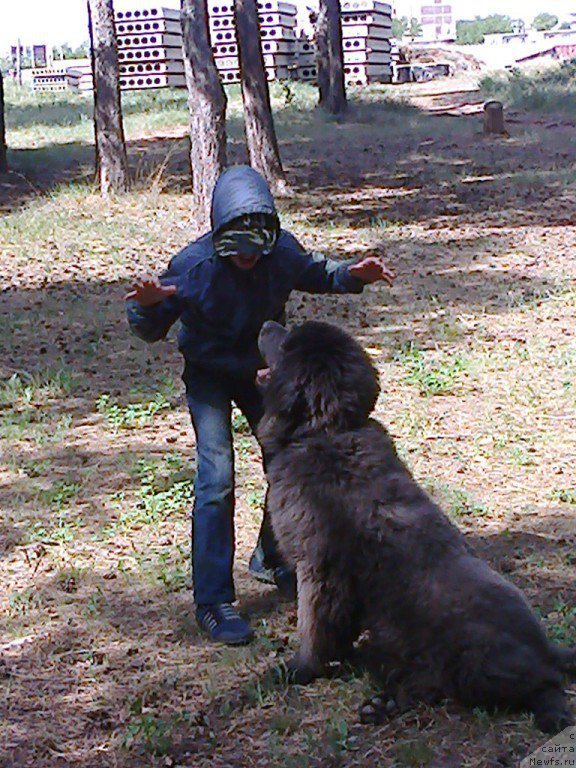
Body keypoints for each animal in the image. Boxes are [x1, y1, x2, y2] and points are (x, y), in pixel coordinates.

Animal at [258, 318, 576, 732]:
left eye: (287, 343)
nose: (266, 323)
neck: (328, 431)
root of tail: (547, 647)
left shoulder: (319, 571)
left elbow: (314, 628)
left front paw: (300, 669)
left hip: (476, 663)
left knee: (543, 683)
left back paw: (550, 710)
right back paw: (382, 705)